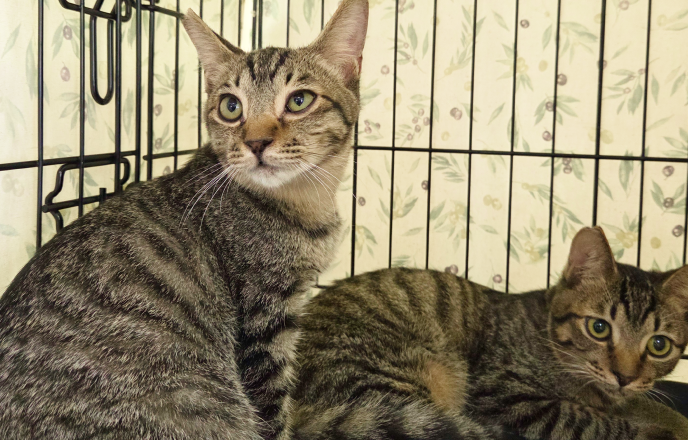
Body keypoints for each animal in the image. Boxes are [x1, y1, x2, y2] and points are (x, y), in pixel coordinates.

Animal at [0, 1, 368, 439]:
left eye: (299, 101)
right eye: (231, 107)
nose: (255, 142)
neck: (303, 204)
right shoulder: (263, 323)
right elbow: (273, 414)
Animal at [289, 226, 688, 440]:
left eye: (659, 345)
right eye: (599, 327)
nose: (625, 376)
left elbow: (645, 404)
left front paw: (669, 418)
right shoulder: (505, 396)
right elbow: (585, 419)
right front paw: (656, 431)